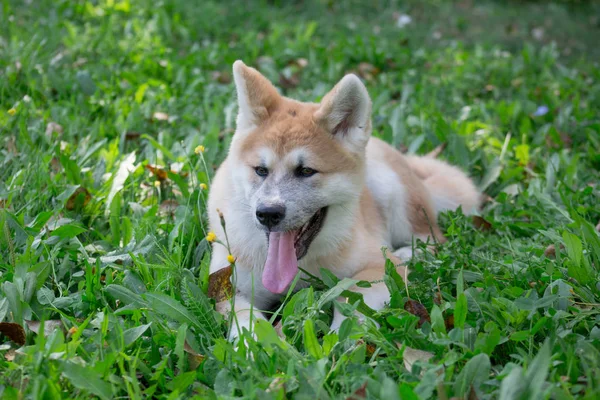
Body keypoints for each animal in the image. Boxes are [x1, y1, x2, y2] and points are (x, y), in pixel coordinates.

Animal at [206, 61, 478, 340]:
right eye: (261, 170)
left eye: (306, 171)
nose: (268, 213)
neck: (301, 269)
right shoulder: (226, 287)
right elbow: (245, 320)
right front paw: (259, 344)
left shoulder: (379, 268)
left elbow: (353, 296)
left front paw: (343, 335)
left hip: (392, 190)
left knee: (432, 238)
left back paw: (410, 254)